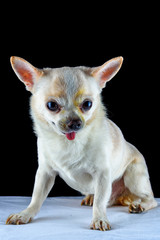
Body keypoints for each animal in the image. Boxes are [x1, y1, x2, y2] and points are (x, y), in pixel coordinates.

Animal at [6, 56, 156, 231]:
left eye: (87, 104)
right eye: (51, 105)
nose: (75, 122)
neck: (68, 143)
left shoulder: (102, 175)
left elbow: (100, 202)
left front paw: (99, 219)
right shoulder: (45, 173)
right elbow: (36, 197)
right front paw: (25, 214)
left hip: (134, 176)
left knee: (150, 199)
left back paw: (140, 205)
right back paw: (91, 197)